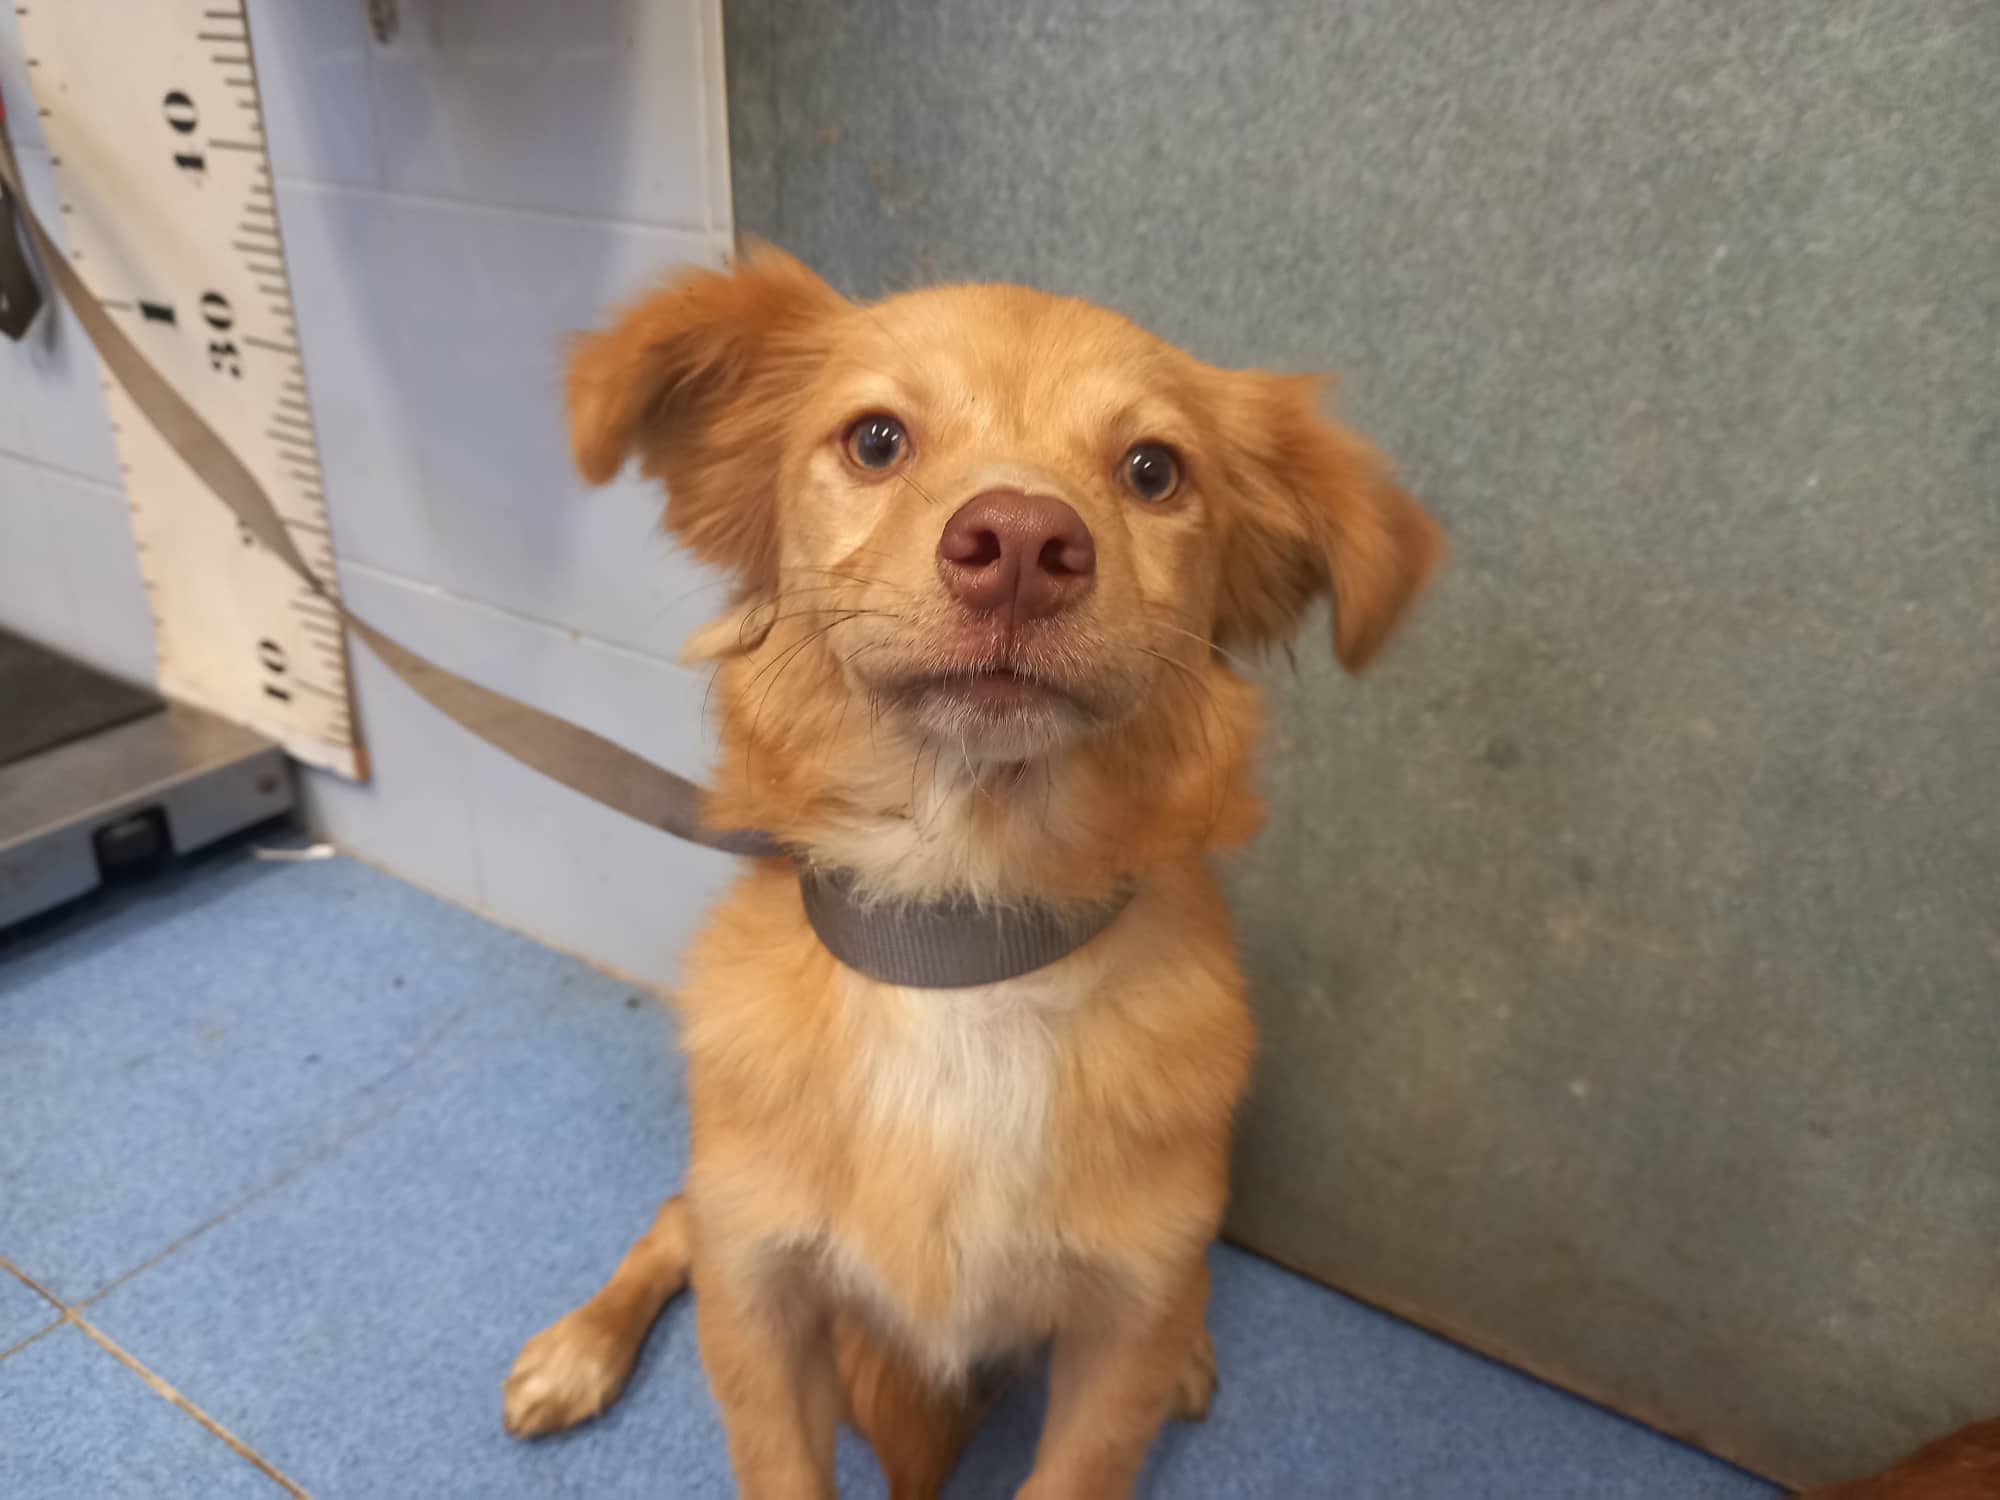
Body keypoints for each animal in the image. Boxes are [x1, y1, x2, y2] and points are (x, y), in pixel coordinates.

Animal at [499, 245, 1441, 1498]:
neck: (960, 931)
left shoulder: (1117, 1335)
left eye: (1152, 470)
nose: (1024, 547)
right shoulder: (761, 1308)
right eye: (875, 440)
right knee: (670, 1218)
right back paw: (580, 1346)